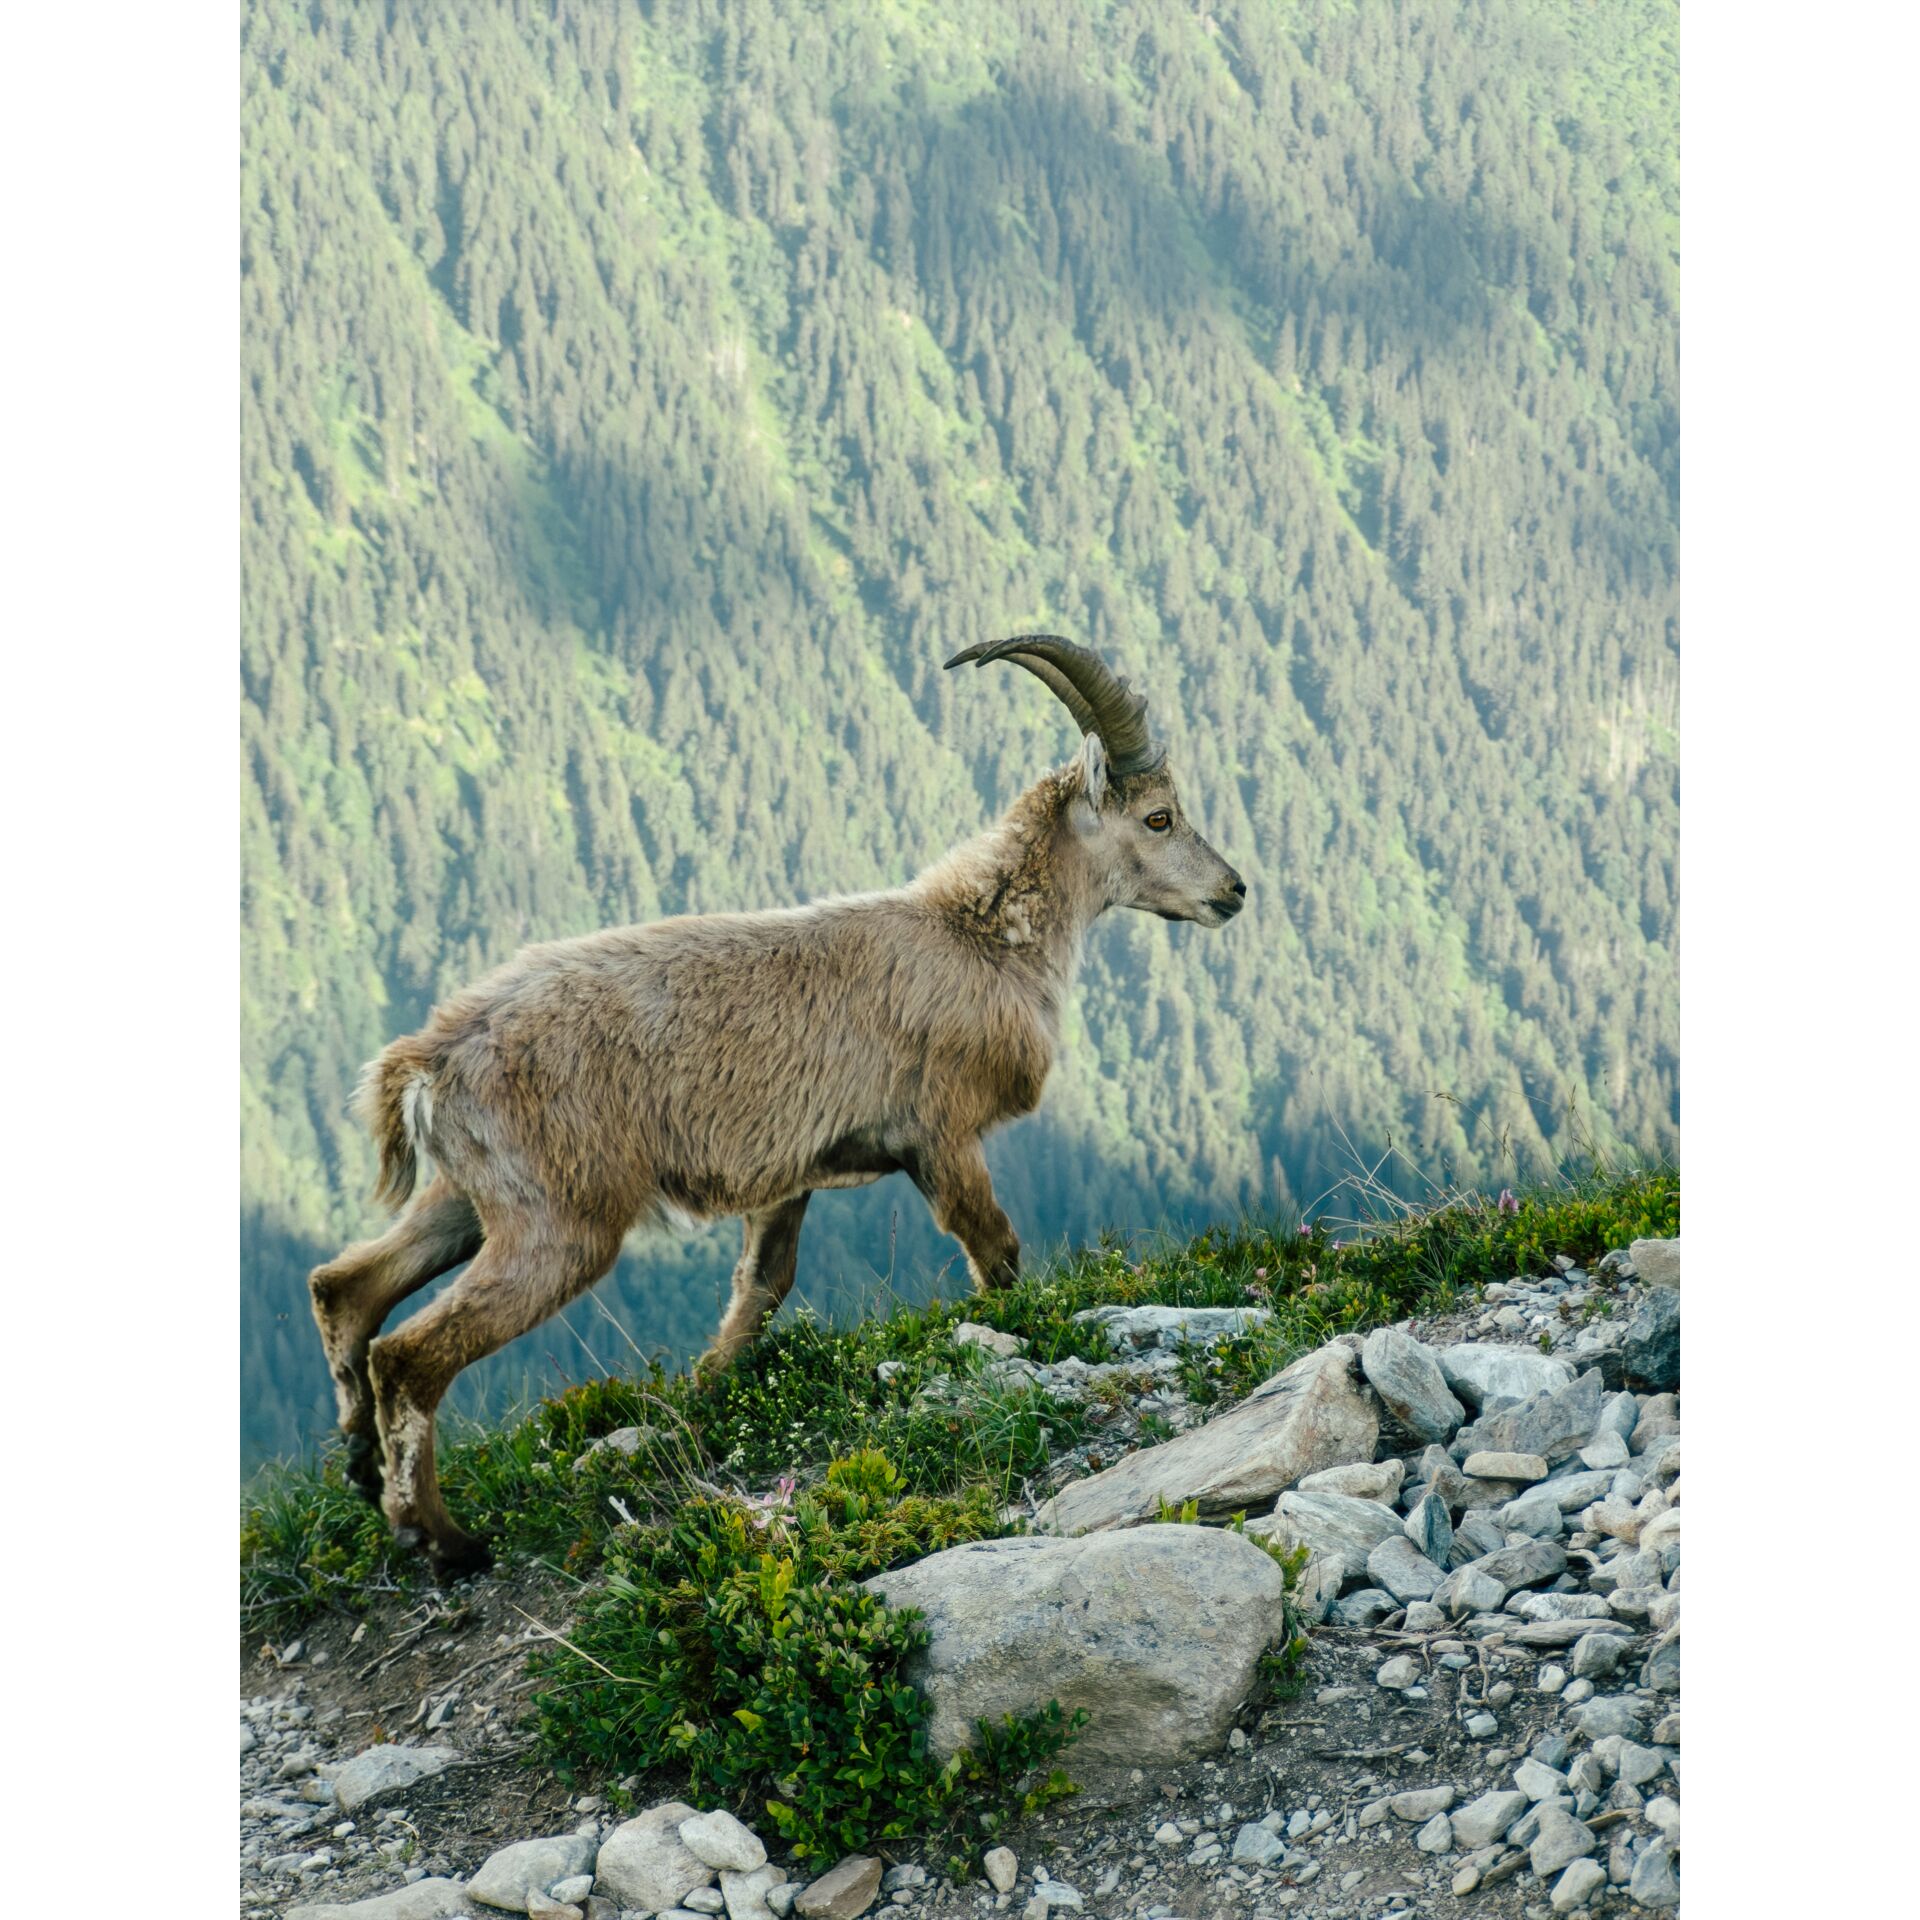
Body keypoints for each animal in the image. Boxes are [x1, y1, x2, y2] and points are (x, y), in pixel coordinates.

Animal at [307, 637, 1246, 1576]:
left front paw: (701, 1392)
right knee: (410, 1355)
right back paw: (439, 1535)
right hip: (559, 1220)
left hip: (479, 1195)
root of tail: (427, 1058)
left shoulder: (788, 1175)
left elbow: (762, 1287)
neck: (983, 939)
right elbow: (994, 1250)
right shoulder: (939, 1134)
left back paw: (360, 1464)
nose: (1233, 891)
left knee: (346, 1286)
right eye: (1159, 817)